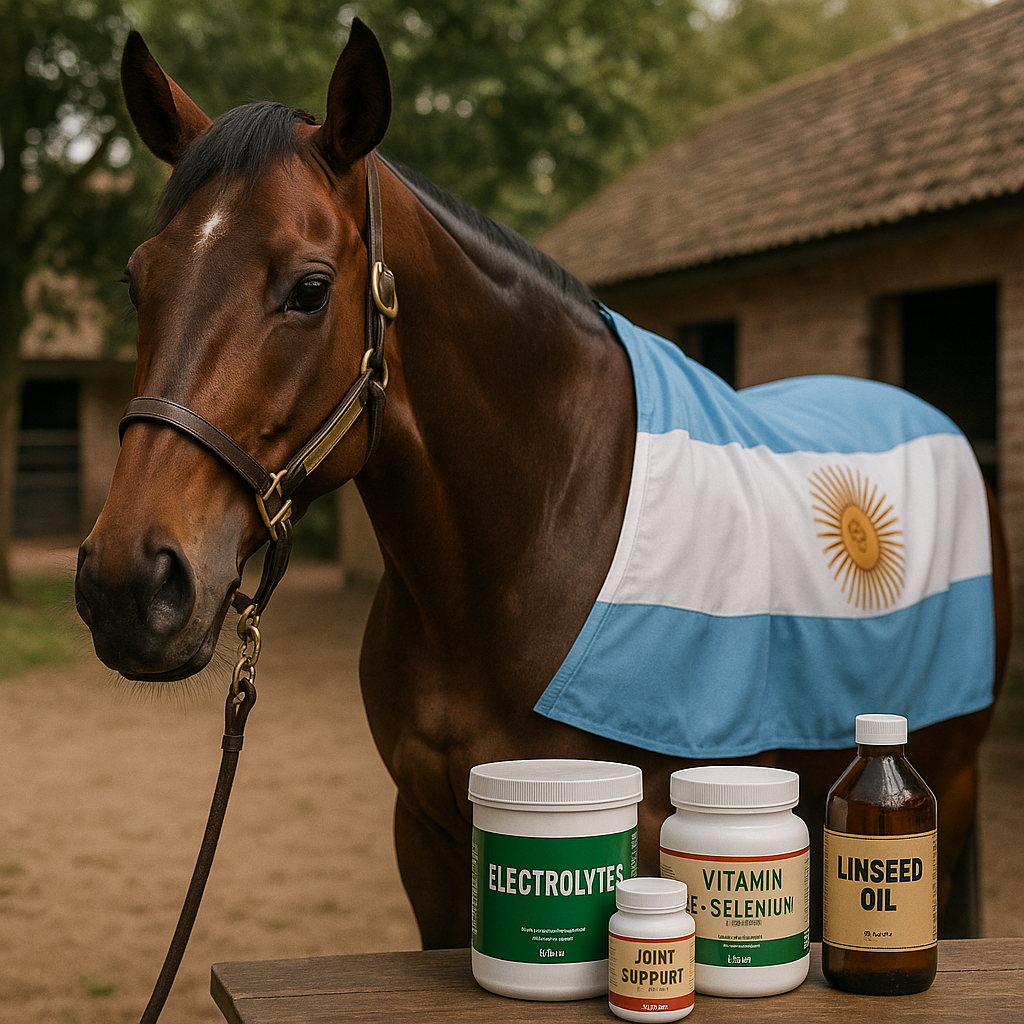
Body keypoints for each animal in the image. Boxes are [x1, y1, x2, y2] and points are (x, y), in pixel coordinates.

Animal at [75, 20, 1011, 951]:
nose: (127, 584)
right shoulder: (426, 836)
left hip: (952, 784)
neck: (528, 545)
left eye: (309, 289)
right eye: (136, 281)